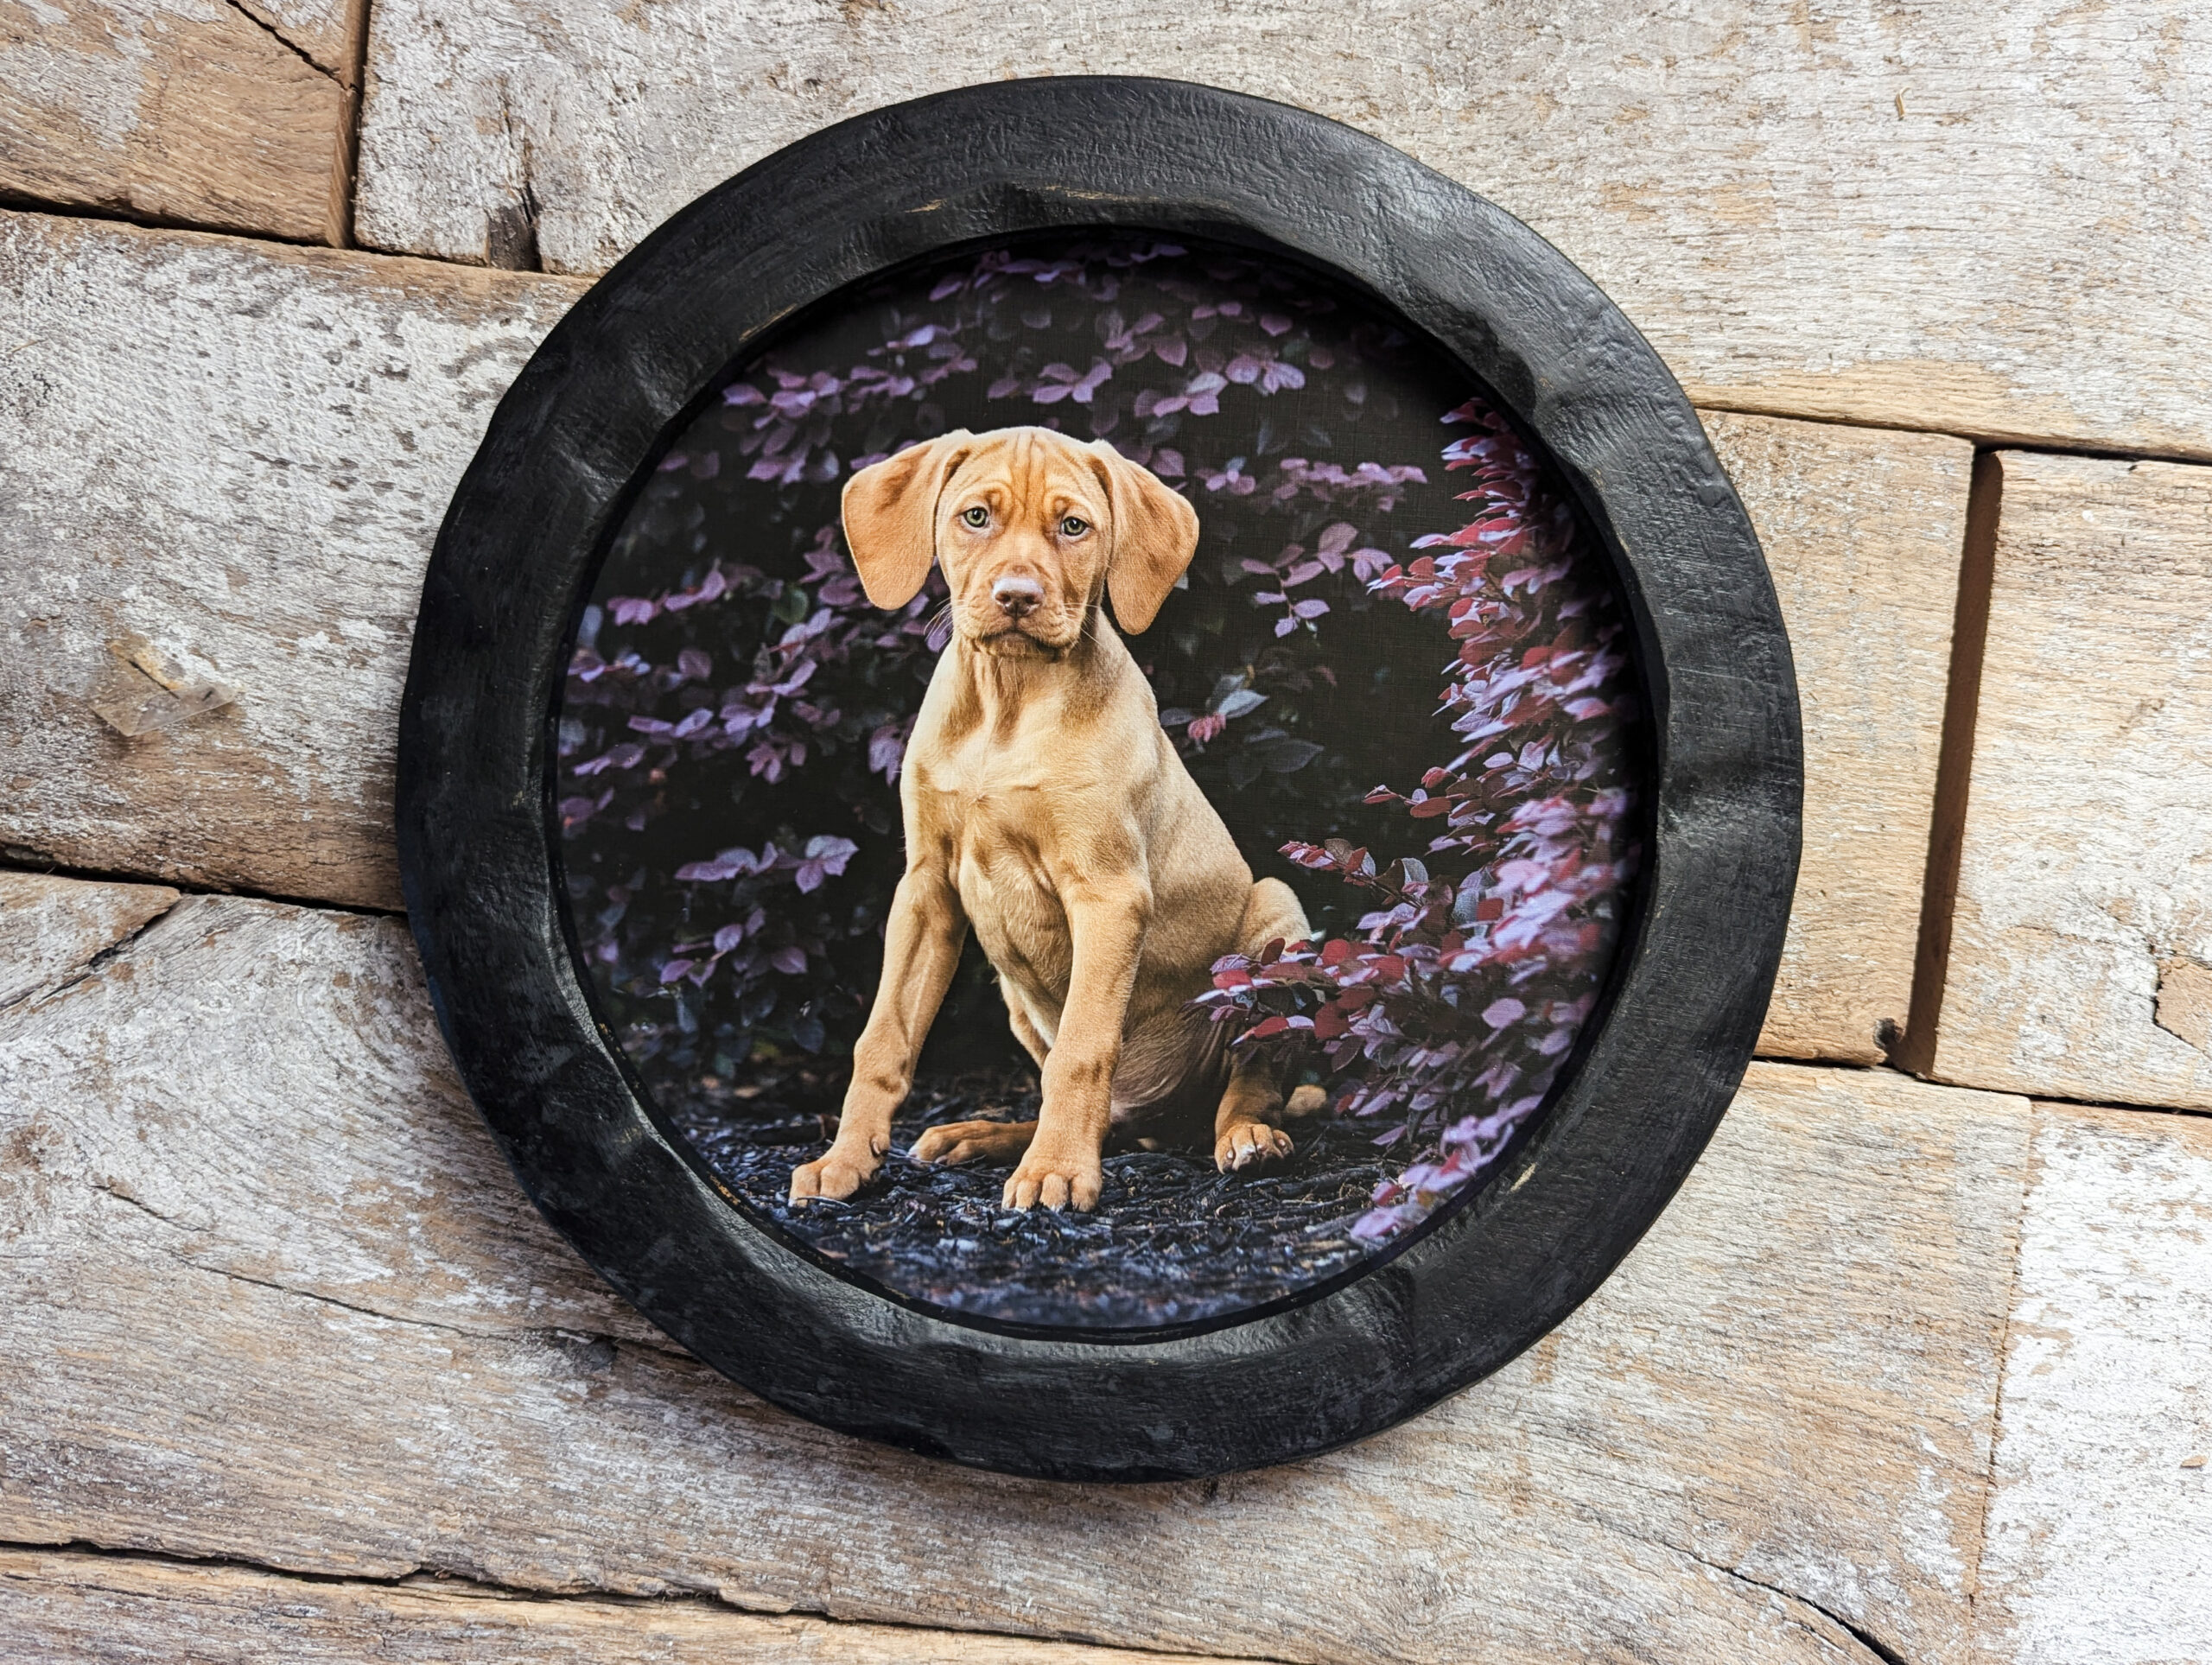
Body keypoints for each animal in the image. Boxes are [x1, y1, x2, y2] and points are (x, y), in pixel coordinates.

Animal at [791, 424, 1309, 1211]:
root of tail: (1166, 1122)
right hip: (1013, 995)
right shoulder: (926, 889)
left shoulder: (1108, 894)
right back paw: (981, 1135)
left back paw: (1246, 1134)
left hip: (1278, 917)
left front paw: (1057, 1170)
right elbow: (882, 1038)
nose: (1017, 596)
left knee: (1254, 1070)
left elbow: (1082, 1048)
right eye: (976, 517)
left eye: (1073, 527)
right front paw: (844, 1158)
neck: (1006, 702)